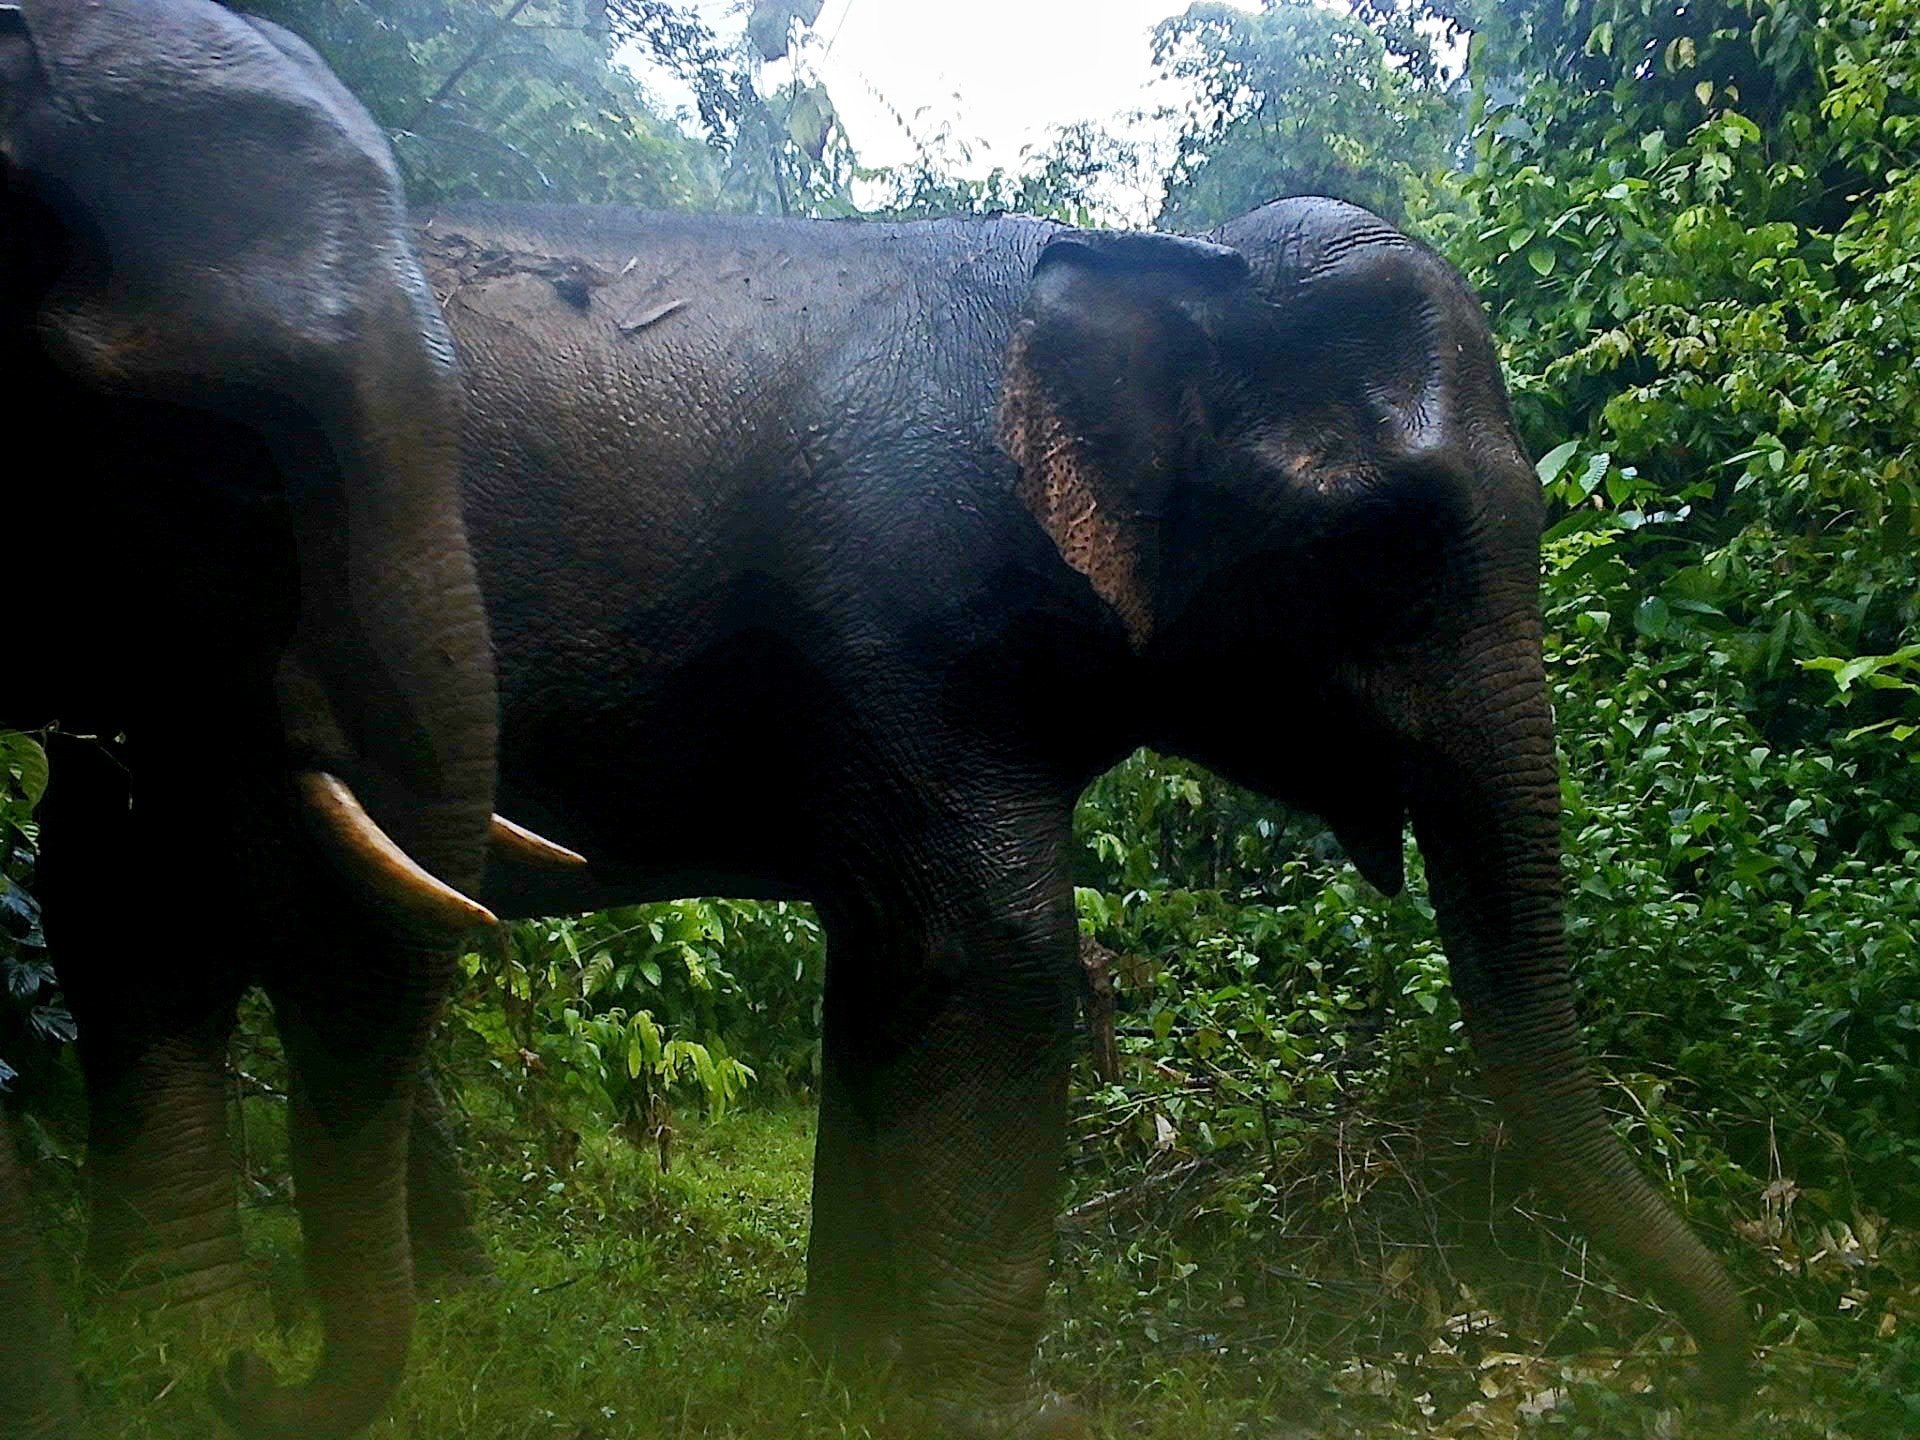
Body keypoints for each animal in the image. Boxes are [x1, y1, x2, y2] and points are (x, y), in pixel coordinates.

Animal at [432, 197, 1758, 1436]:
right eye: (1383, 539)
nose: (1710, 1379)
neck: (1174, 262)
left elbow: (884, 961)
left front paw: (842, 1370)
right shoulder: (902, 611)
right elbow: (997, 956)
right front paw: (997, 1413)